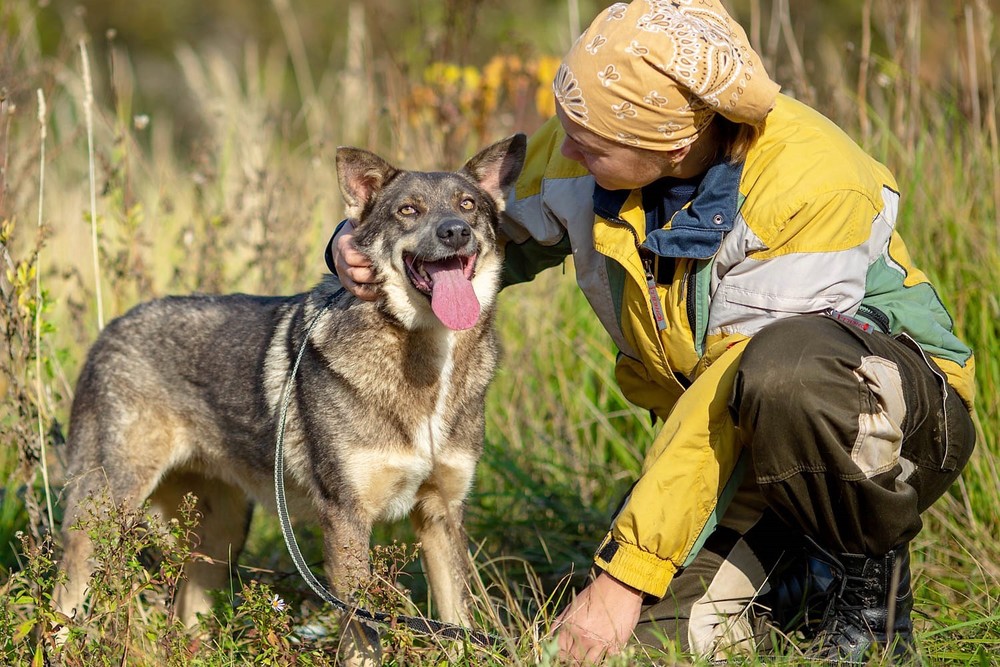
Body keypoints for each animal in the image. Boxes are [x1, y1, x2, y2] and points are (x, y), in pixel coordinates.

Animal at [54, 134, 528, 656]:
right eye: (408, 210)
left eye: (468, 206)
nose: (455, 232)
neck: (425, 361)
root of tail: (108, 332)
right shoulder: (346, 520)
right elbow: (364, 641)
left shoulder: (441, 516)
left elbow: (457, 624)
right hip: (104, 519)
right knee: (60, 610)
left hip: (218, 539)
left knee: (186, 620)